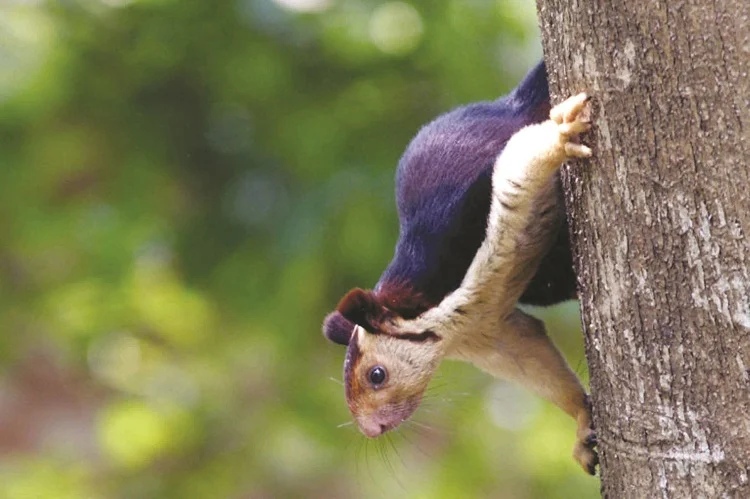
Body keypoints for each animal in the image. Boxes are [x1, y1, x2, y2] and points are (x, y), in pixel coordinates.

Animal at [322, 62, 598, 474]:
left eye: (376, 375)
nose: (372, 430)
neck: (444, 315)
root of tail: (509, 105)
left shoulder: (463, 226)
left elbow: (518, 165)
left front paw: (562, 136)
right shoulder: (488, 336)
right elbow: (535, 363)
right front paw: (582, 422)